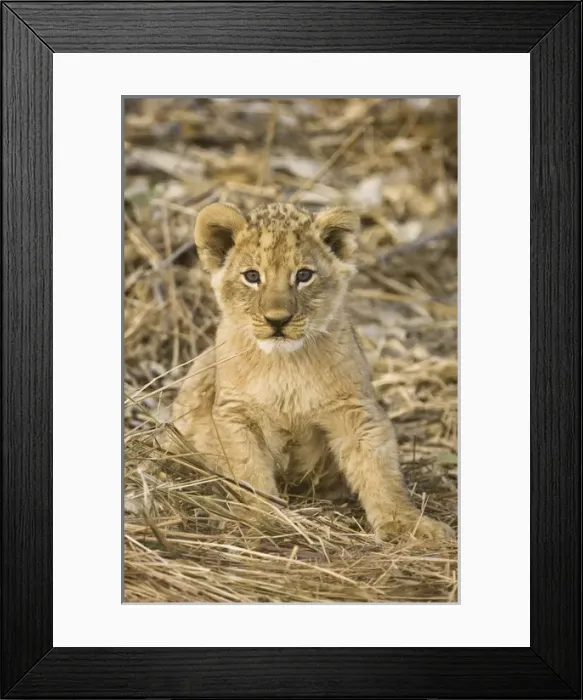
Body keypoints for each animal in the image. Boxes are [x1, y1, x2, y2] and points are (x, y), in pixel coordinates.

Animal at [170, 202, 453, 541]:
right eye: (252, 276)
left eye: (303, 275)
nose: (277, 320)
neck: (284, 363)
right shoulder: (234, 413)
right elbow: (249, 470)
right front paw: (263, 517)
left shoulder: (354, 410)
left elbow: (378, 470)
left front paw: (407, 525)